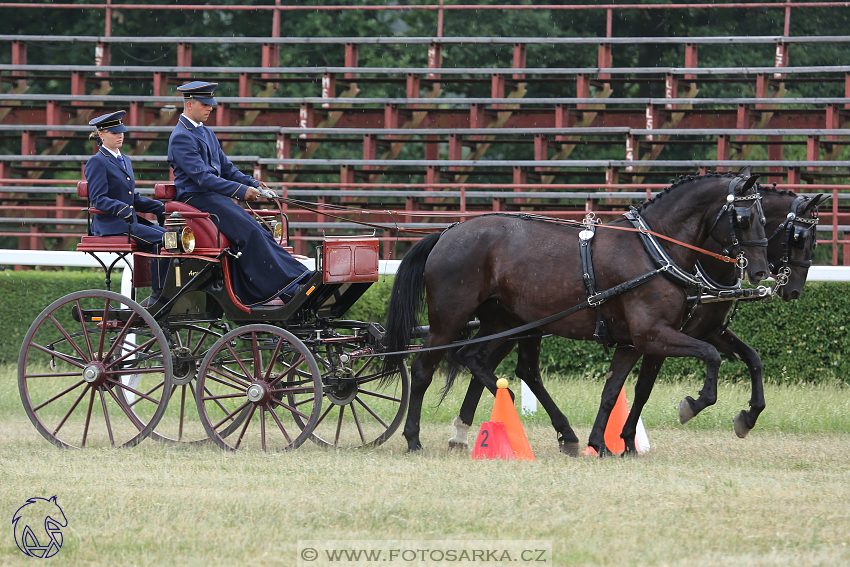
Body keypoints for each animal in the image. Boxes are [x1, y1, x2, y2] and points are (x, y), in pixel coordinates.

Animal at [384, 171, 768, 454]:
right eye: (744, 217)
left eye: (764, 217)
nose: (762, 271)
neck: (653, 250)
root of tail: (447, 232)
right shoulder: (653, 334)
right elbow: (710, 355)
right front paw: (695, 402)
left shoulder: (635, 341)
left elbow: (615, 390)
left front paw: (602, 443)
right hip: (449, 319)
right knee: (423, 370)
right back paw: (414, 438)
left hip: (506, 321)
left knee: (482, 361)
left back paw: (553, 429)